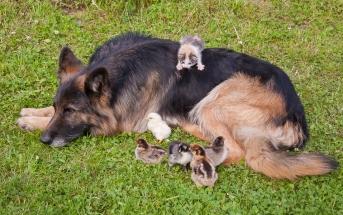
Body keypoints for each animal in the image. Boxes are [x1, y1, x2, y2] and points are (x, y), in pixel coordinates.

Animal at [16, 31, 338, 180]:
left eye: (71, 112)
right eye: (59, 107)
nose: (45, 140)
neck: (122, 75)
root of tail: (296, 118)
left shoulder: (119, 123)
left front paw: (32, 122)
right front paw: (33, 113)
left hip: (215, 100)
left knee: (236, 151)